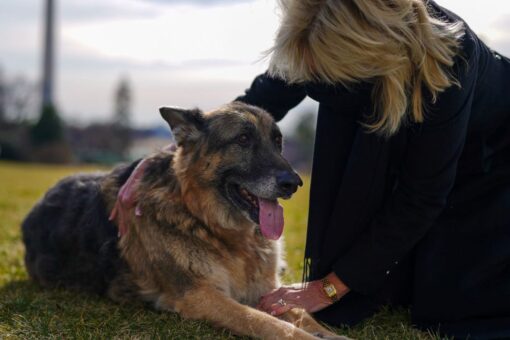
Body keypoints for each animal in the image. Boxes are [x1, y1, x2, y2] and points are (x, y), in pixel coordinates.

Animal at [20, 102, 346, 338]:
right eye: (243, 139)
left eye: (278, 142)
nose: (294, 183)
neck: (207, 222)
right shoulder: (201, 296)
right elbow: (269, 324)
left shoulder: (268, 292)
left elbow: (303, 315)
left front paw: (331, 334)